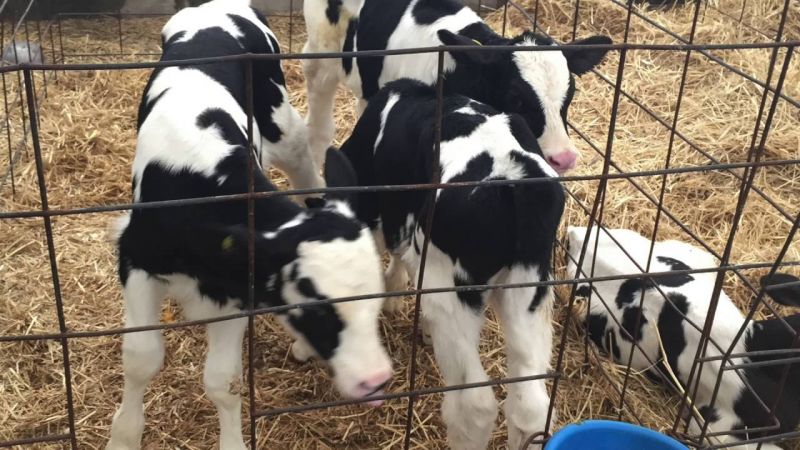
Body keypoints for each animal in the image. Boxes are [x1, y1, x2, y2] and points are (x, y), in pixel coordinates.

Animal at [106, 2, 391, 449]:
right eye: (315, 306)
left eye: (375, 298)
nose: (376, 379)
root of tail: (218, 8)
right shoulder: (135, 258)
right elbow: (140, 359)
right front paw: (123, 435)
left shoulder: (238, 286)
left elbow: (223, 381)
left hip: (283, 129)